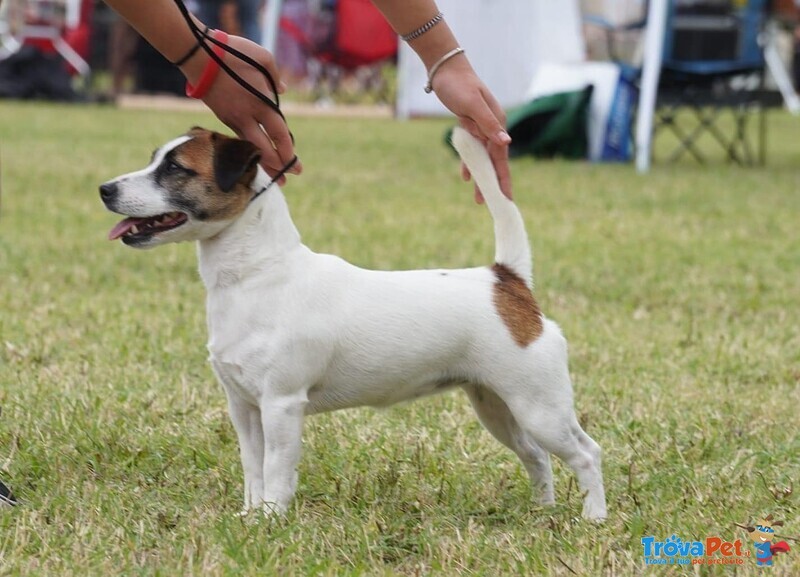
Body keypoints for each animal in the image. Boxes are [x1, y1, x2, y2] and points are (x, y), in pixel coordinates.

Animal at [100, 125, 608, 516]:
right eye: (154, 159)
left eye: (176, 169)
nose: (106, 190)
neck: (260, 273)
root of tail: (506, 280)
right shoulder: (244, 407)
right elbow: (252, 467)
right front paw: (250, 514)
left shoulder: (281, 405)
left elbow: (276, 469)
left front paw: (271, 521)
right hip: (498, 407)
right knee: (537, 456)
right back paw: (543, 509)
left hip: (539, 407)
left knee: (586, 454)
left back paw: (593, 518)